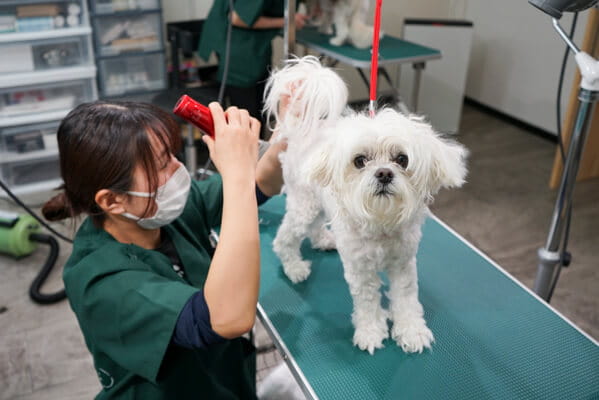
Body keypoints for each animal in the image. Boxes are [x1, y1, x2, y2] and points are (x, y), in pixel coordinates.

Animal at [268, 55, 468, 354]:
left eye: (402, 159)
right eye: (360, 160)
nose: (384, 173)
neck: (381, 223)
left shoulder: (403, 264)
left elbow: (406, 298)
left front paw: (411, 330)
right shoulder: (361, 270)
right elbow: (367, 302)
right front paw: (371, 331)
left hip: (319, 203)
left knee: (315, 225)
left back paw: (323, 240)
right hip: (304, 204)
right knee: (284, 238)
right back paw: (294, 267)